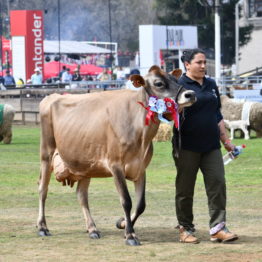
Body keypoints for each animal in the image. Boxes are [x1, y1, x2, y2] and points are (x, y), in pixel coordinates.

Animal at [37, 65, 196, 246]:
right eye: (159, 83)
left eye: (176, 80)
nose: (190, 94)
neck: (140, 133)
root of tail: (52, 96)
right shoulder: (116, 165)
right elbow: (126, 201)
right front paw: (130, 235)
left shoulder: (140, 168)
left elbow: (141, 205)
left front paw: (124, 224)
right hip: (46, 152)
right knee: (43, 188)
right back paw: (42, 227)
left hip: (85, 163)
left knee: (81, 195)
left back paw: (92, 229)